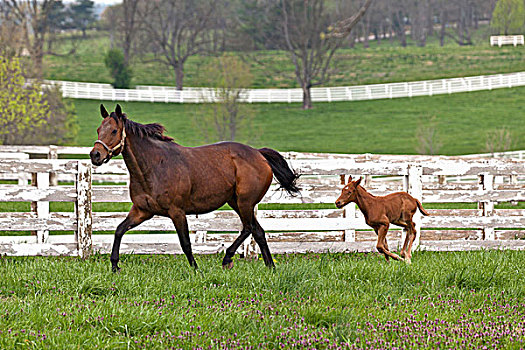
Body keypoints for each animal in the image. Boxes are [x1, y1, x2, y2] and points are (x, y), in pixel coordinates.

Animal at [90, 104, 298, 270]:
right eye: (98, 129)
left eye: (114, 131)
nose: (95, 155)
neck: (154, 167)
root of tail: (259, 154)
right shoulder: (142, 211)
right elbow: (119, 230)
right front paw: (115, 265)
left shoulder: (177, 212)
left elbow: (185, 243)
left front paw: (195, 269)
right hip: (236, 202)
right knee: (258, 231)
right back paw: (270, 267)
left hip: (245, 202)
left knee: (248, 228)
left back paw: (227, 258)